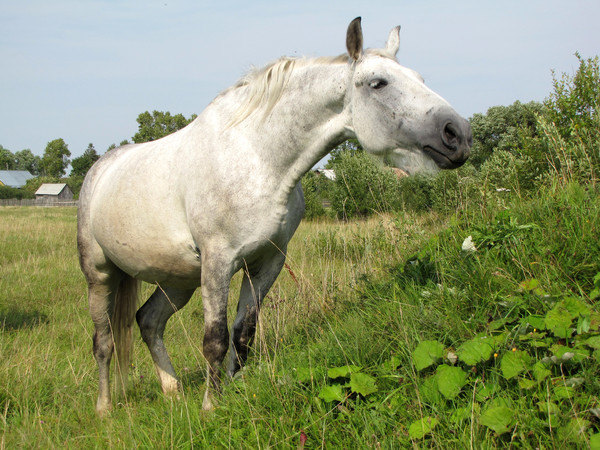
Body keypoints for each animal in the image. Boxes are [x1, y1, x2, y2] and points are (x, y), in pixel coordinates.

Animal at [77, 17, 472, 414]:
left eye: (419, 78)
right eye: (379, 83)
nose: (458, 134)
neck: (258, 160)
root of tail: (99, 171)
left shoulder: (267, 262)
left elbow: (243, 334)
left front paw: (235, 392)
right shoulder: (219, 263)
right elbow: (215, 339)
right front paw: (210, 407)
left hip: (179, 279)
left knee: (149, 321)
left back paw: (172, 391)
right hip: (101, 275)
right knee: (104, 341)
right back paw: (103, 408)